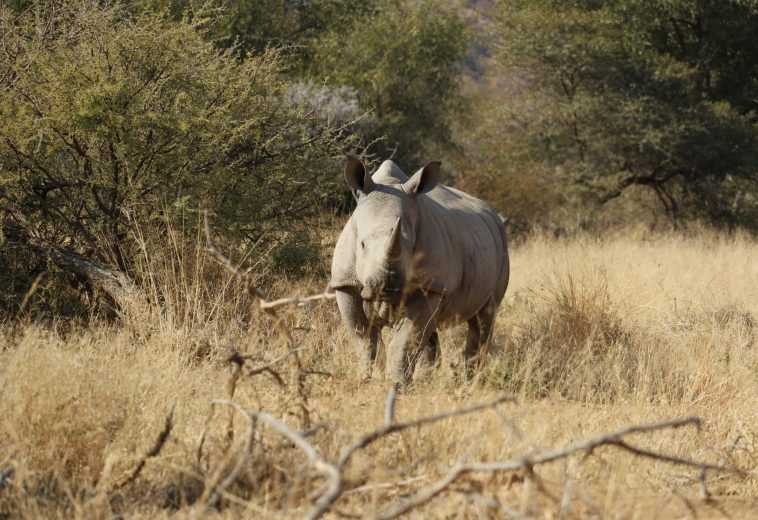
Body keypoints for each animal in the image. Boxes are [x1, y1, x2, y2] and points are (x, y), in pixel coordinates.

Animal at [330, 156, 509, 387]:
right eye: (361, 245)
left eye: (411, 246)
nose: (386, 288)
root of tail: (493, 214)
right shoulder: (345, 283)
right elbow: (364, 338)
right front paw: (369, 381)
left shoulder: (430, 285)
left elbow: (406, 340)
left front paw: (397, 386)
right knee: (433, 329)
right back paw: (428, 380)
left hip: (500, 244)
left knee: (485, 316)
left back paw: (472, 382)